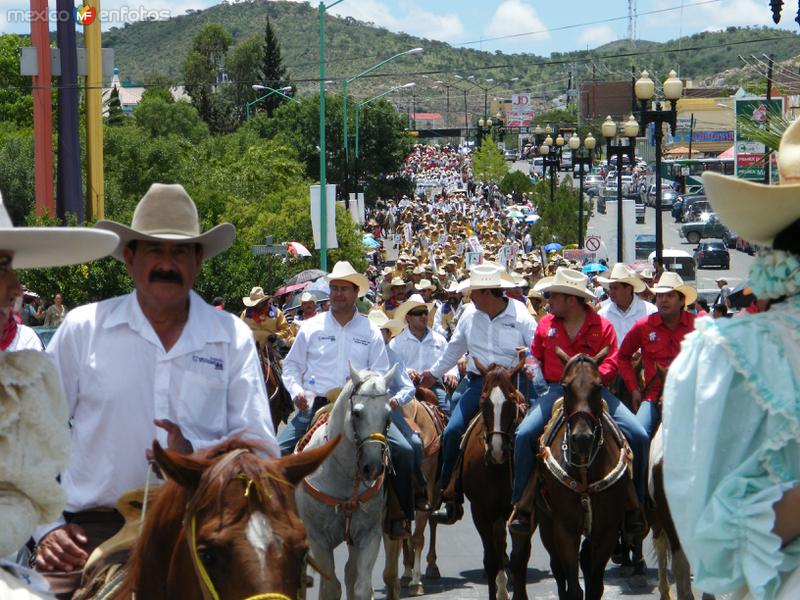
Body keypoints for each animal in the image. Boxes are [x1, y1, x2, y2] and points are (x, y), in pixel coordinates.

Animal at [296, 364, 398, 596]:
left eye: (388, 415)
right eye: (357, 413)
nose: (372, 467)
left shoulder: (368, 536)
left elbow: (360, 586)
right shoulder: (318, 540)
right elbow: (331, 587)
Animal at [382, 386, 446, 596]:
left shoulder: (426, 495)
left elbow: (418, 538)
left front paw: (416, 583)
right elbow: (405, 535)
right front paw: (407, 573)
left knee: (432, 522)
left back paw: (432, 566)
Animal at [460, 356, 536, 600]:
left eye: (511, 403)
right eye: (483, 403)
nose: (496, 450)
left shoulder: (526, 512)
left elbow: (520, 559)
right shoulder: (481, 511)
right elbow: (491, 560)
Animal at [536, 346, 640, 600]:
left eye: (599, 386)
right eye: (565, 386)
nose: (582, 439)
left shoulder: (607, 532)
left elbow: (595, 587)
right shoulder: (564, 530)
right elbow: (573, 586)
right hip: (545, 524)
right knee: (557, 568)